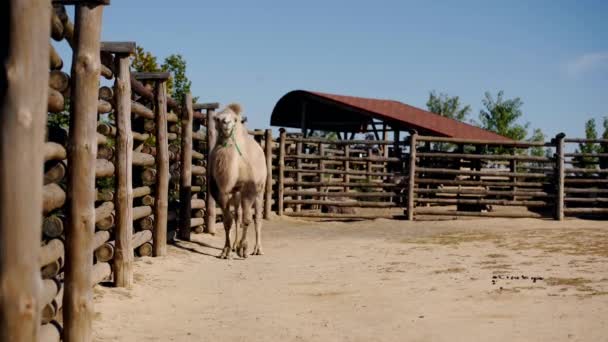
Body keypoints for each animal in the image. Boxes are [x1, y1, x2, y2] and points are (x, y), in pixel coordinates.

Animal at [209, 103, 266, 258]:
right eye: (217, 118)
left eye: (234, 120)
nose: (225, 122)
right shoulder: (220, 190)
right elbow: (227, 221)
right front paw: (226, 250)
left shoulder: (250, 187)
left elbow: (247, 219)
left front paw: (243, 248)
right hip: (236, 193)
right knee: (237, 216)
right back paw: (235, 245)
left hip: (261, 188)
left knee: (257, 217)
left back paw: (257, 249)